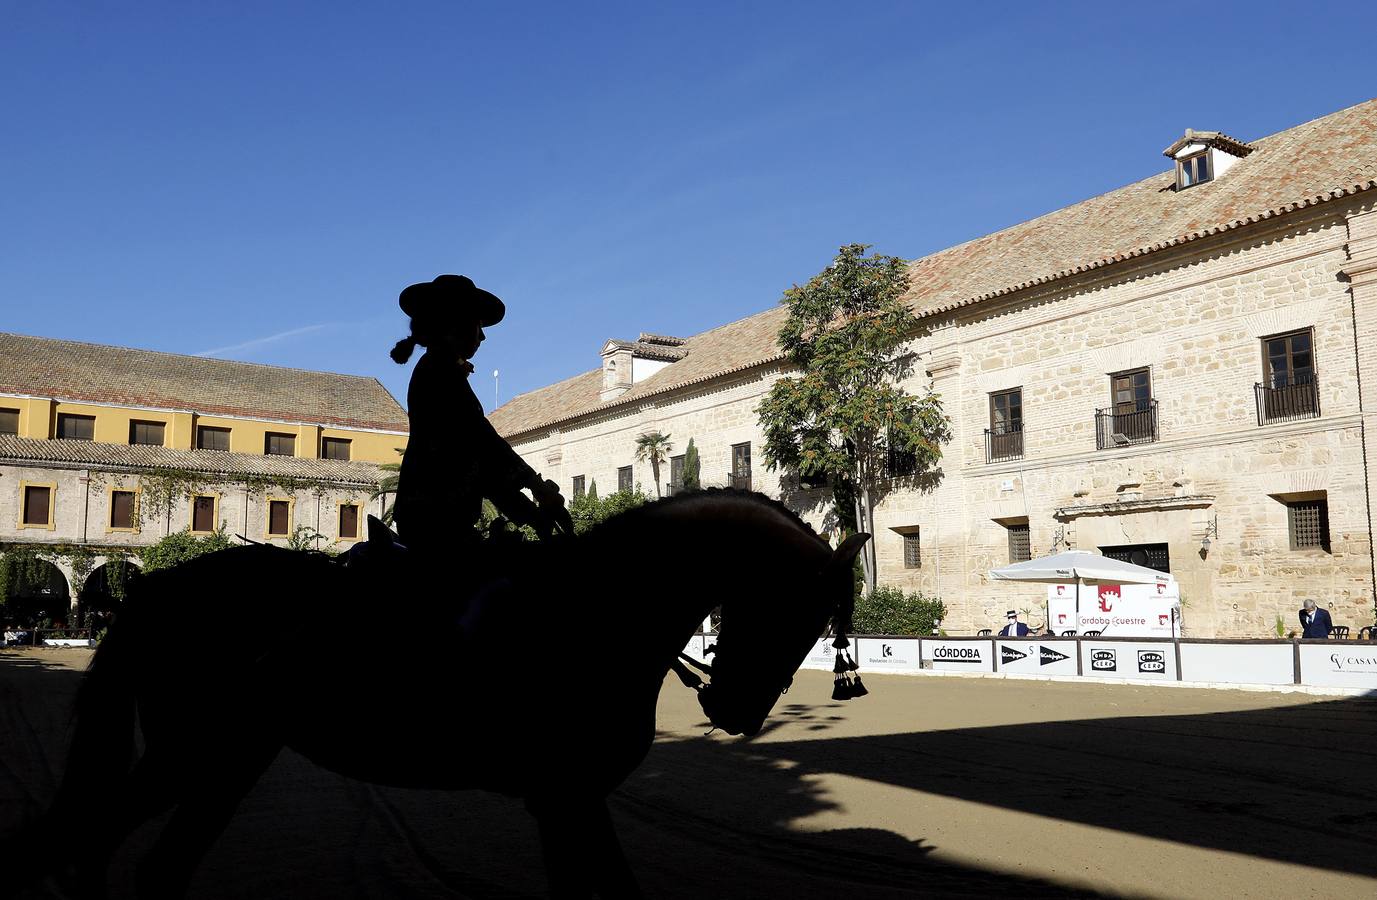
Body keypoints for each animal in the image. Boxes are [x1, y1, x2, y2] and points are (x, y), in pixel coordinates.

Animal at [37, 489, 864, 897]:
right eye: (801, 612)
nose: (737, 712)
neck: (594, 611)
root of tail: (164, 589)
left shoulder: (569, 801)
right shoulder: (565, 796)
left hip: (228, 761)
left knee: (146, 864)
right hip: (193, 754)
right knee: (99, 844)